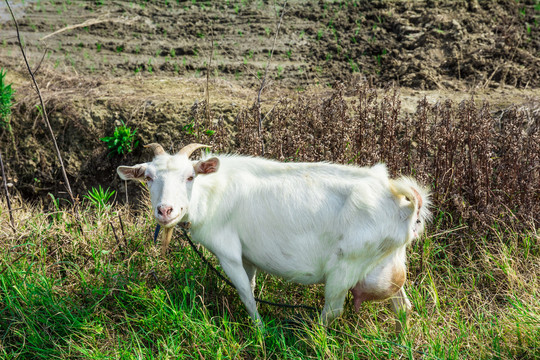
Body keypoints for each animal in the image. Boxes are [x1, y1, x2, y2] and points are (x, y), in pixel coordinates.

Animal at [118, 143, 430, 330]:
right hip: (385, 263)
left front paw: (259, 330)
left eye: (189, 177)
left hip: (346, 266)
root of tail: (401, 203)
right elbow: (252, 285)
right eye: (148, 178)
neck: (212, 192)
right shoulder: (247, 255)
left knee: (331, 312)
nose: (165, 210)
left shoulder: (228, 252)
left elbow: (246, 294)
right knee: (403, 306)